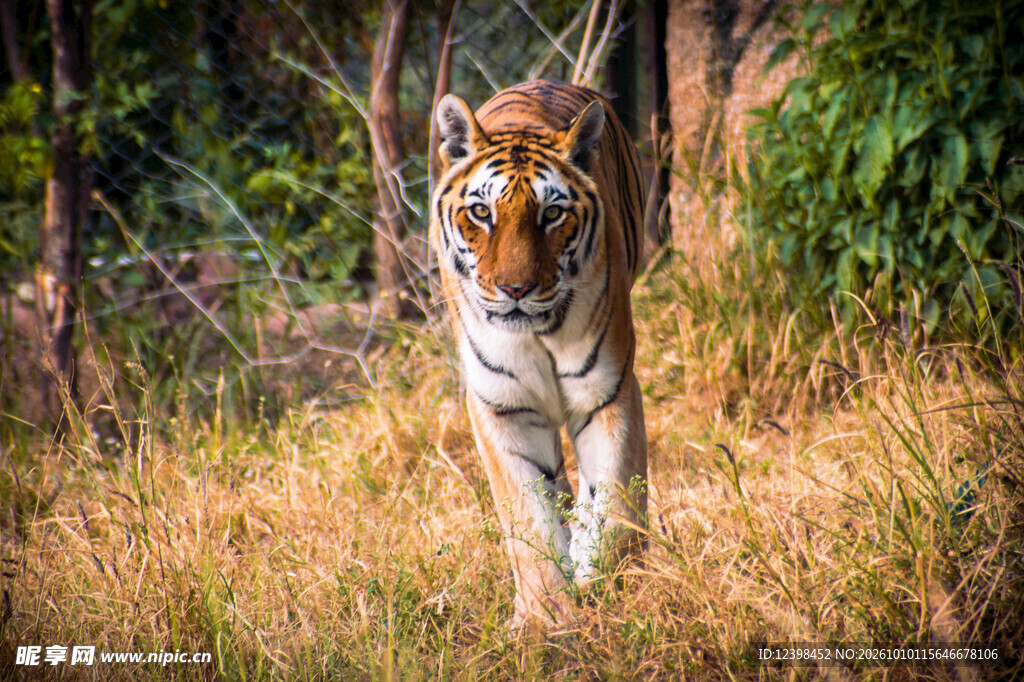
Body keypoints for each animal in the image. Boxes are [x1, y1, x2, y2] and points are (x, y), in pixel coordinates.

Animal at [431, 80, 647, 627]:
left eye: (551, 214)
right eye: (481, 212)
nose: (515, 289)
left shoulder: (608, 390)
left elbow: (617, 500)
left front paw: (613, 582)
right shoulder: (501, 406)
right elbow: (528, 518)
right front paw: (546, 615)